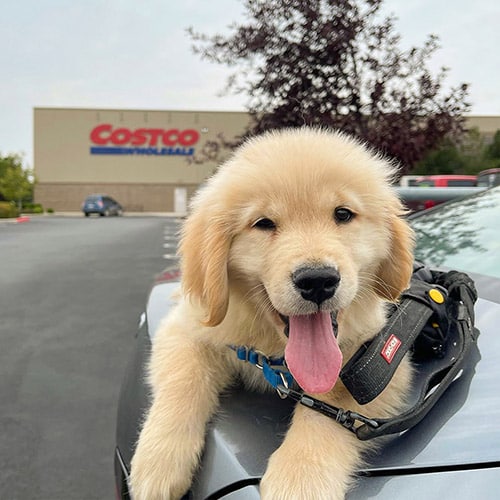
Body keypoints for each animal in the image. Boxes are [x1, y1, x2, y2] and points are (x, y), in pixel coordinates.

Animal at [130, 128, 414, 500]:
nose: (317, 281)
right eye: (264, 224)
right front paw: (158, 462)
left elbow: (332, 405)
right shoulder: (186, 328)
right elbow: (184, 378)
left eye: (343, 214)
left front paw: (301, 478)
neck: (274, 351)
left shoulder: (380, 359)